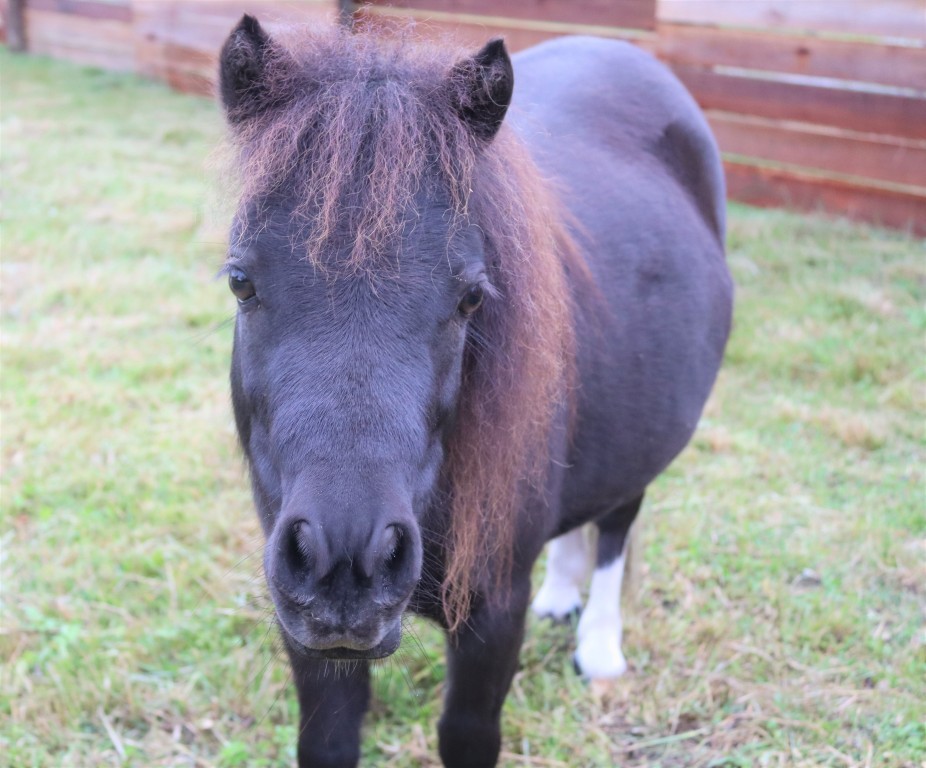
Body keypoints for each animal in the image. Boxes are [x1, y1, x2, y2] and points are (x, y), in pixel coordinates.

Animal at [218, 15, 733, 767]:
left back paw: (599, 648)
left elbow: (466, 734)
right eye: (240, 281)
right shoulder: (306, 634)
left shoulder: (492, 616)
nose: (346, 563)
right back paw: (561, 595)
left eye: (469, 298)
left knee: (615, 526)